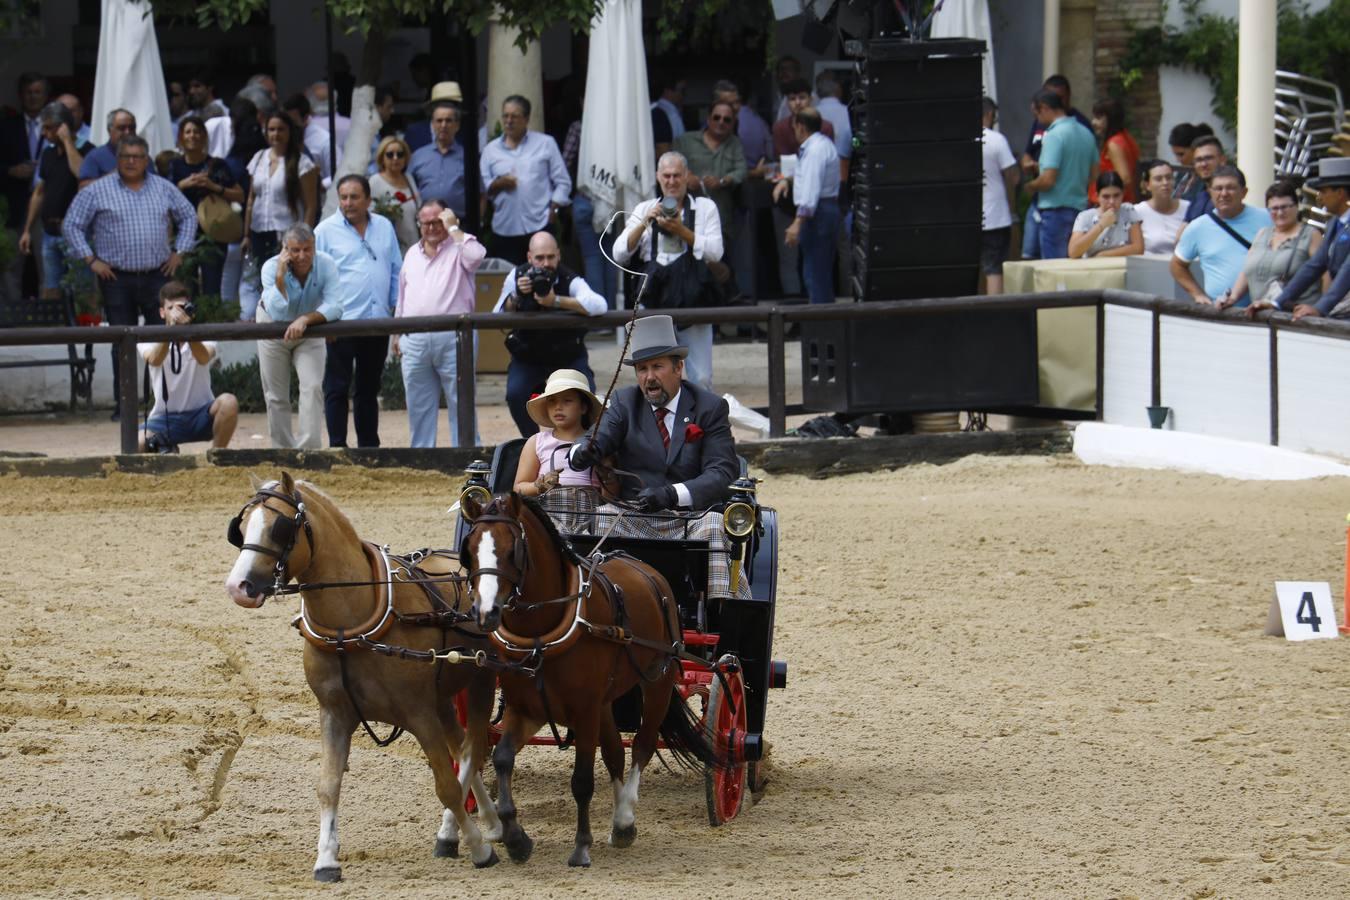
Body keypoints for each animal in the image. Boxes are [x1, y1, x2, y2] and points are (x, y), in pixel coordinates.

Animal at [224, 472, 504, 879]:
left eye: (280, 527)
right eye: (241, 527)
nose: (238, 587)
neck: (351, 625)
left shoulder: (419, 714)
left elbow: (447, 786)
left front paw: (480, 849)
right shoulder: (335, 713)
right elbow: (328, 785)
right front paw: (326, 859)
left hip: (482, 678)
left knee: (472, 750)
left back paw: (463, 832)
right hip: (444, 695)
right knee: (463, 747)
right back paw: (487, 822)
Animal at [459, 493, 723, 863]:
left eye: (512, 550)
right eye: (468, 550)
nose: (485, 613)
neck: (541, 634)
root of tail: (644, 568)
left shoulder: (583, 710)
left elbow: (582, 780)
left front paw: (581, 845)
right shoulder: (524, 707)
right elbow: (502, 758)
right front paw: (515, 838)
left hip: (657, 681)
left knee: (642, 745)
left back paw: (625, 816)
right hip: (606, 701)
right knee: (615, 751)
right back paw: (619, 822)